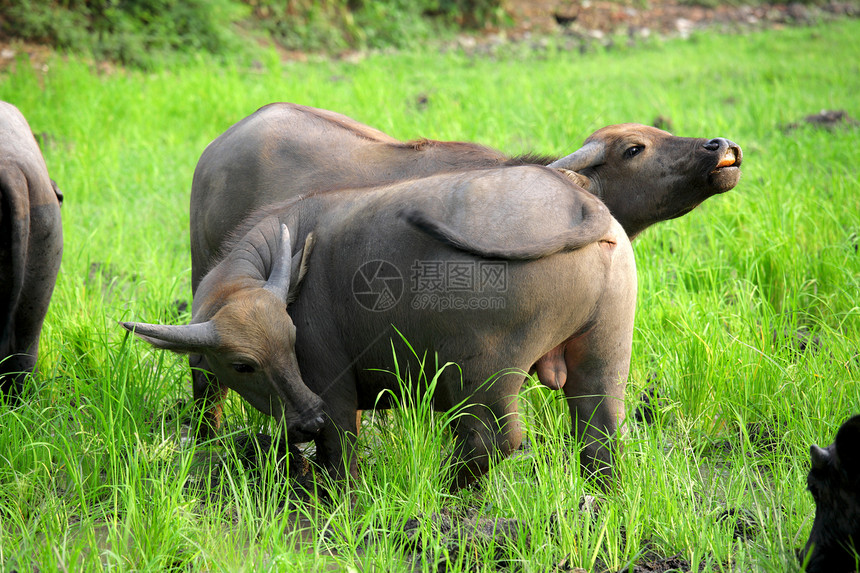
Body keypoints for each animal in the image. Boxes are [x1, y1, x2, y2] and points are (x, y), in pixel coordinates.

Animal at [127, 164, 640, 488]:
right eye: (243, 364)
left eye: (293, 340)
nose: (307, 418)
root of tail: (578, 202)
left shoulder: (330, 388)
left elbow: (340, 449)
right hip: (605, 354)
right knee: (600, 434)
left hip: (482, 375)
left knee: (492, 441)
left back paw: (446, 489)